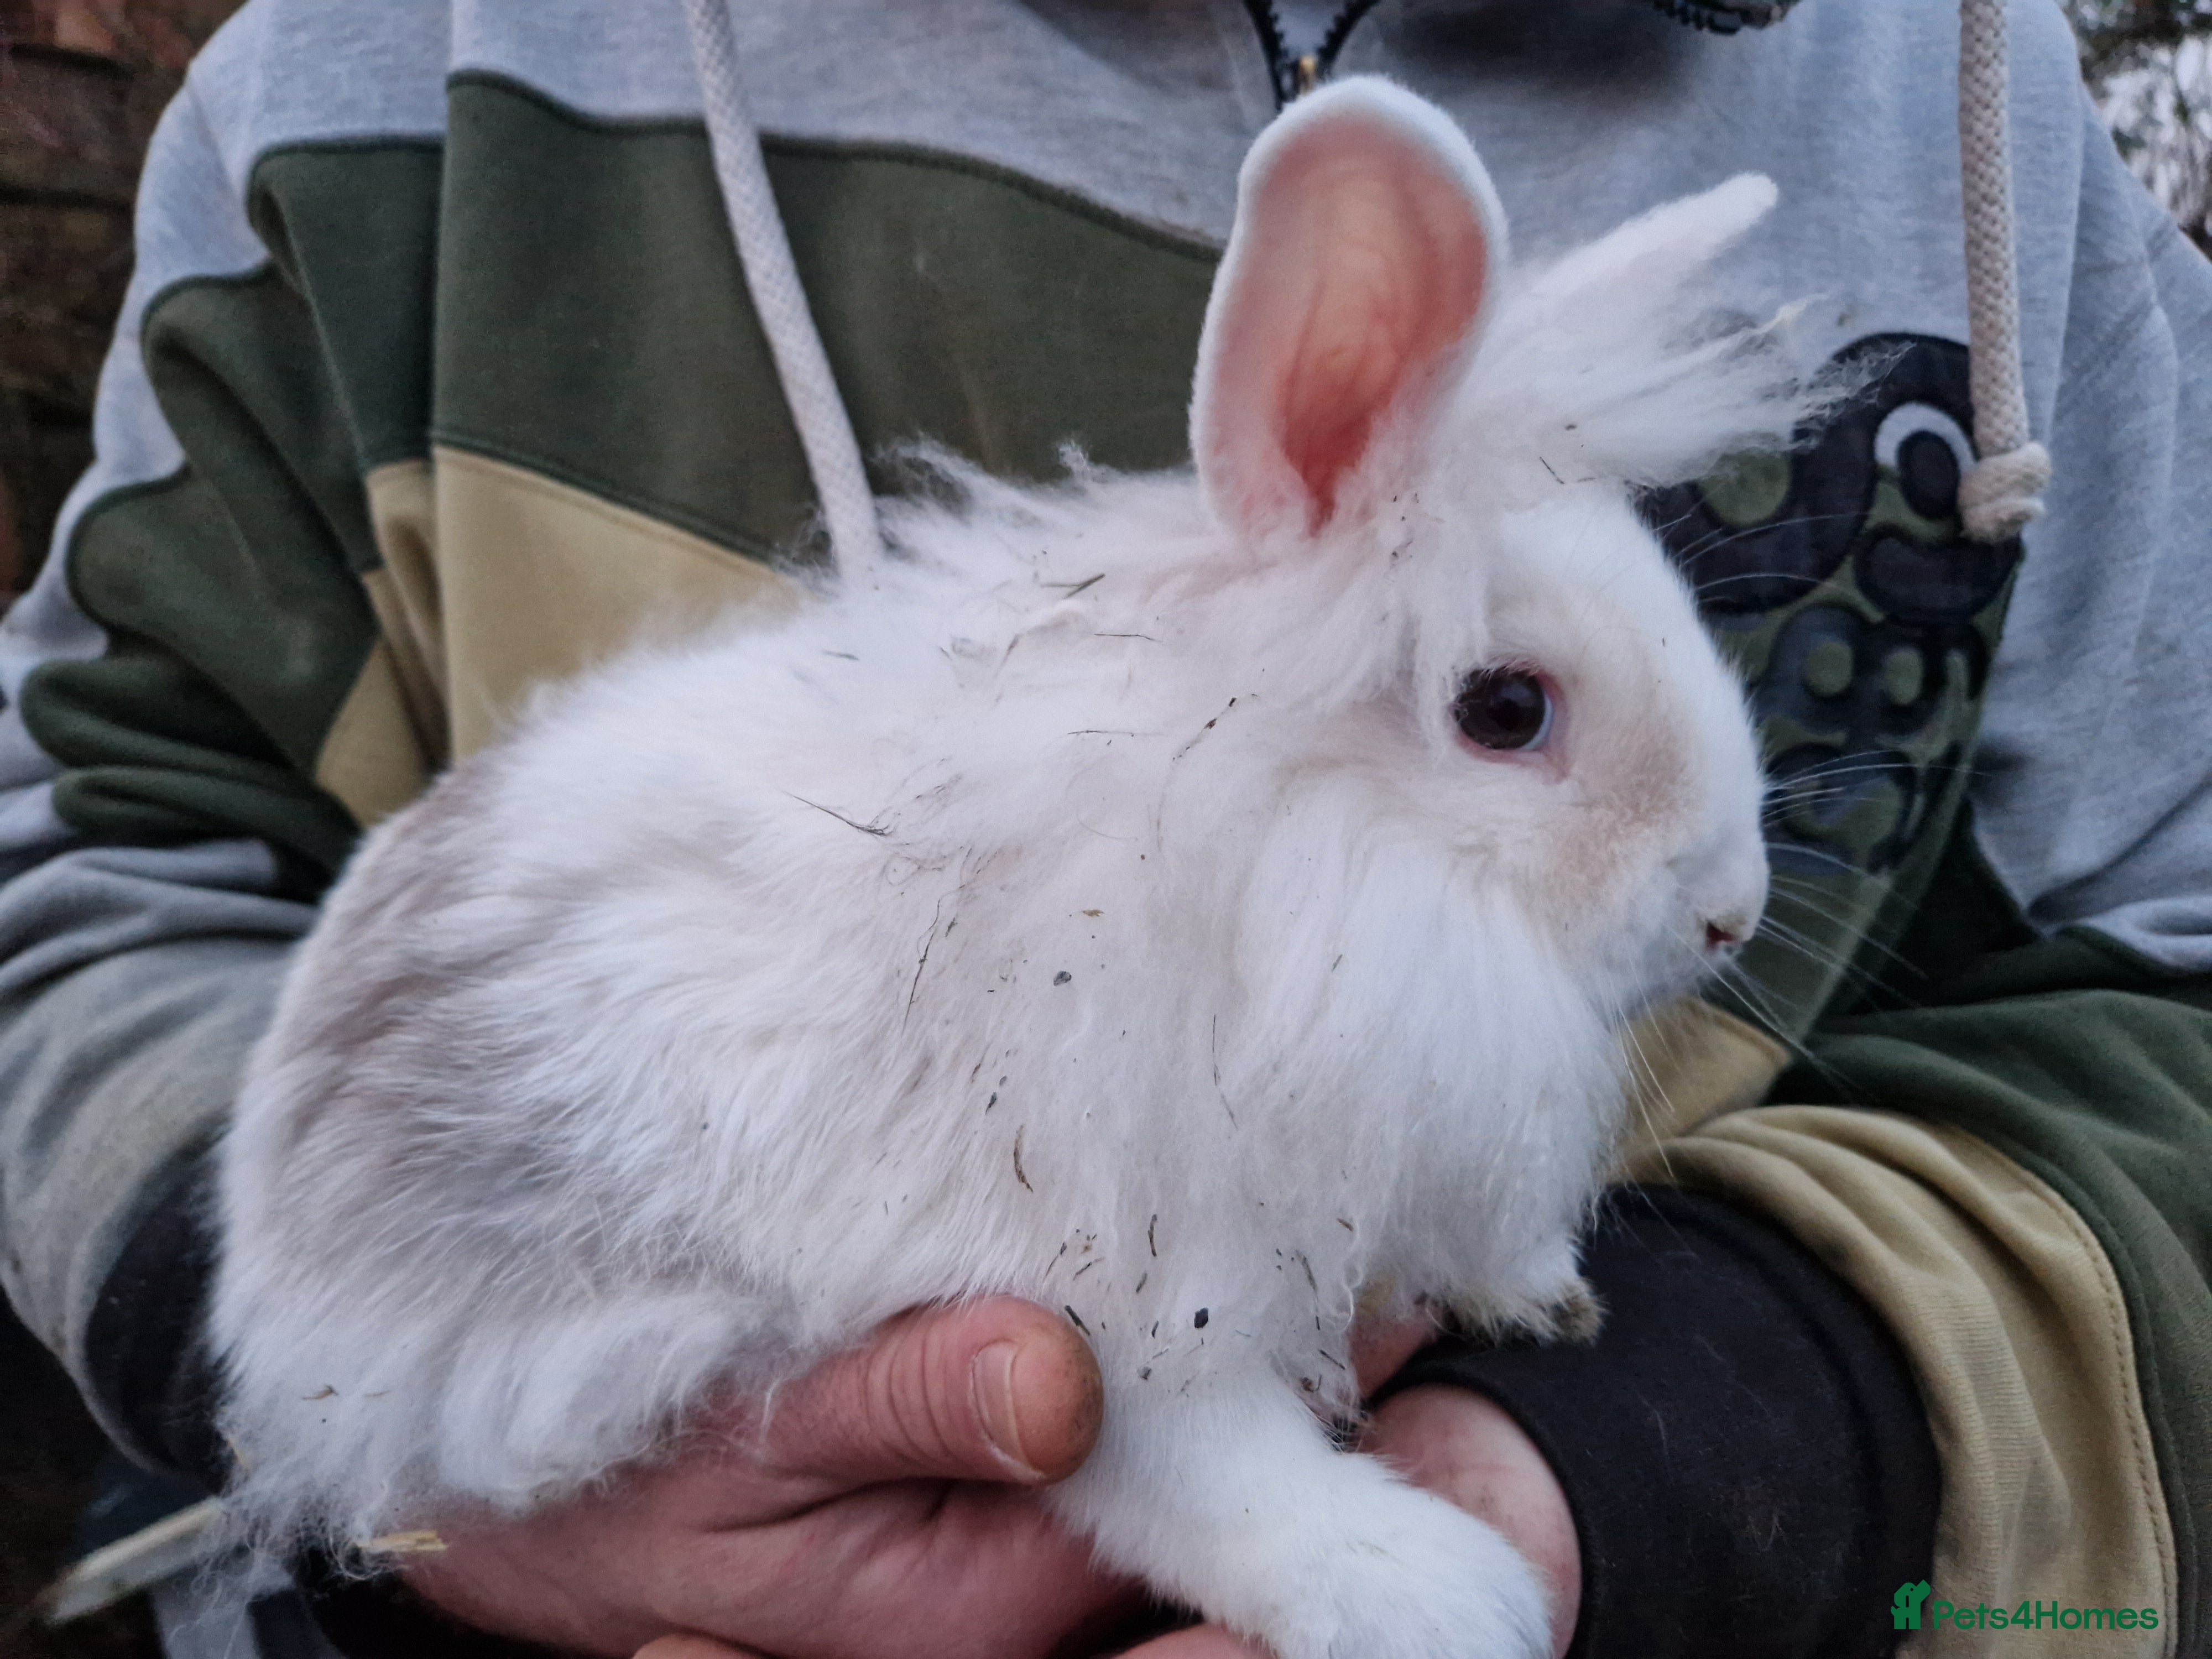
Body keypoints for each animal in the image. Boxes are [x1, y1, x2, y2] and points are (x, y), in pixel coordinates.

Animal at [214, 77, 1808, 1659]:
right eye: (1506, 712)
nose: (1727, 915)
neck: (1248, 850)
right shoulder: (1114, 1317)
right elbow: (1214, 1483)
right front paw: (1432, 1596)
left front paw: (1542, 1299)